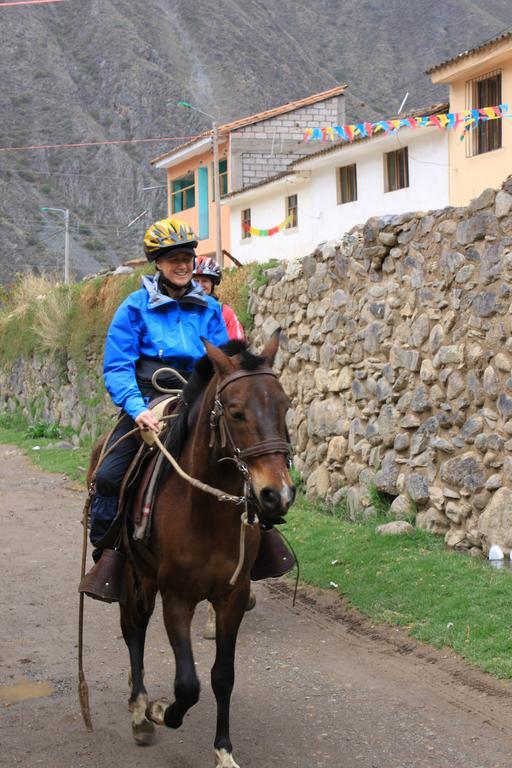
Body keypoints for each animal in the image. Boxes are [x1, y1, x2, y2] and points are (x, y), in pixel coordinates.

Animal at [118, 332, 294, 764]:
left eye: (285, 406)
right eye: (236, 412)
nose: (277, 495)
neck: (206, 513)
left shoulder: (233, 596)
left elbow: (222, 677)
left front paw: (223, 750)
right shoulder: (176, 598)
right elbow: (187, 684)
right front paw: (161, 710)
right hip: (136, 575)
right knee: (133, 628)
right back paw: (139, 708)